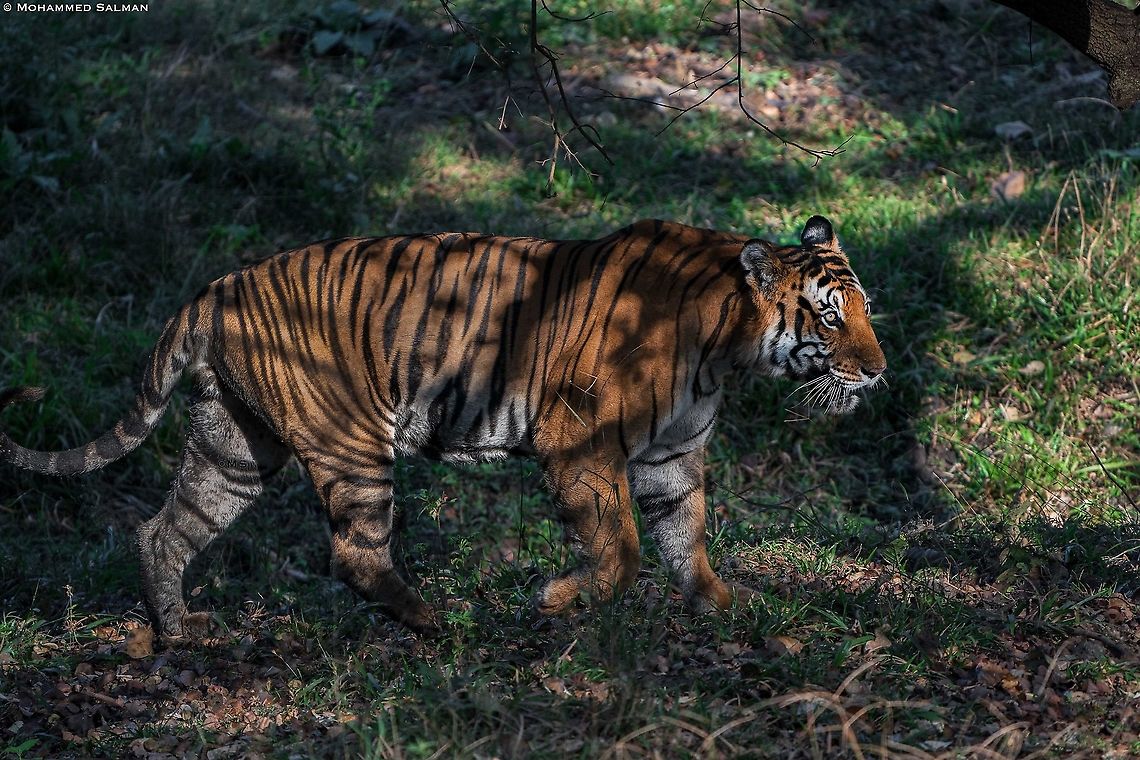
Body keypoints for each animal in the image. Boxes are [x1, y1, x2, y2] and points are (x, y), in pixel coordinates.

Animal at [0, 215, 885, 639]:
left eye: (867, 309)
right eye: (830, 318)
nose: (877, 371)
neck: (727, 349)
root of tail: (217, 286)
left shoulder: (672, 456)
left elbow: (685, 535)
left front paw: (717, 605)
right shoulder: (578, 438)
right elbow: (624, 546)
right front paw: (559, 600)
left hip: (235, 446)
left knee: (164, 527)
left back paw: (180, 630)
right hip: (349, 441)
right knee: (355, 551)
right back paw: (435, 621)